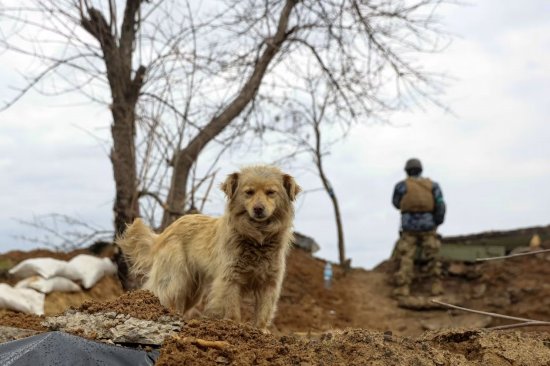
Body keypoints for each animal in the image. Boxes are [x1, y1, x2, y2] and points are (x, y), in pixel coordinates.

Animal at [118, 164, 304, 330]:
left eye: (271, 193)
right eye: (249, 192)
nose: (259, 209)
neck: (257, 237)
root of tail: (165, 232)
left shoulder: (269, 282)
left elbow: (264, 311)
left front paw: (260, 331)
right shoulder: (230, 279)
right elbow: (232, 309)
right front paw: (234, 327)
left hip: (193, 288)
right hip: (176, 278)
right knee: (164, 294)